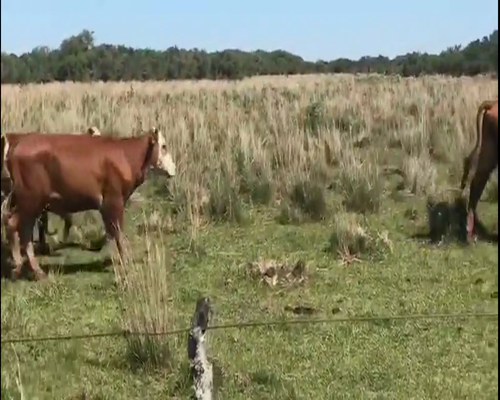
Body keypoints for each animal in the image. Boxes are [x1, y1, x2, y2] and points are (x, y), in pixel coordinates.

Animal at [3, 126, 175, 280]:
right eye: (164, 146)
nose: (173, 168)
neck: (125, 155)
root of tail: (19, 142)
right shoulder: (114, 201)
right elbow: (118, 234)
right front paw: (125, 261)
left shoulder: (106, 207)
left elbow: (111, 233)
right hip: (31, 202)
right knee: (19, 229)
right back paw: (31, 269)